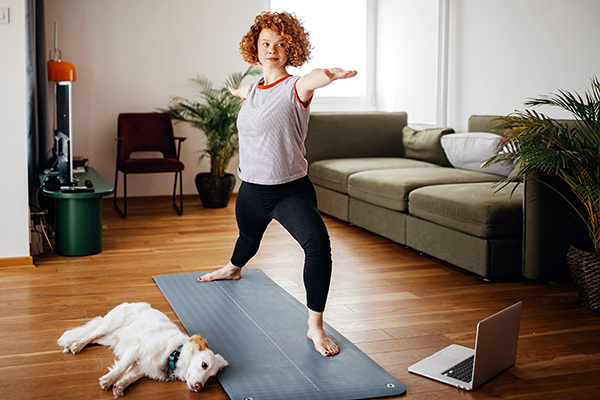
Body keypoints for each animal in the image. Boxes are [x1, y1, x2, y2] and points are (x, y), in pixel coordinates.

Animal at [58, 304, 227, 396]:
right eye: (204, 365)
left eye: (210, 379)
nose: (199, 387)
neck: (173, 354)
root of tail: (130, 303)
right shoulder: (136, 351)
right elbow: (121, 368)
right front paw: (108, 380)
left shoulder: (142, 367)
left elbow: (131, 377)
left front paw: (119, 386)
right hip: (108, 326)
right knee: (91, 334)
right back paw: (76, 345)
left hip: (108, 338)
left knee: (92, 338)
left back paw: (71, 343)